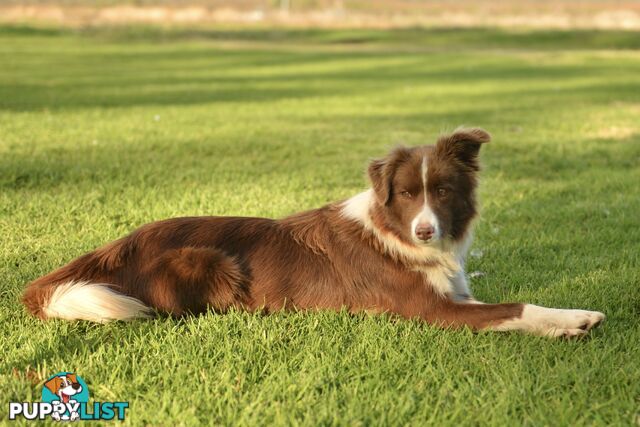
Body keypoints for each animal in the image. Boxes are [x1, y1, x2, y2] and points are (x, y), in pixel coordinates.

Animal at [22, 127, 604, 338]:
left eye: (440, 190)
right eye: (406, 193)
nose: (424, 231)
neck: (393, 235)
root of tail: (110, 249)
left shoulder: (454, 293)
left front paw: (573, 316)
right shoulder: (431, 309)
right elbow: (516, 308)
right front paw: (573, 321)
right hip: (208, 261)